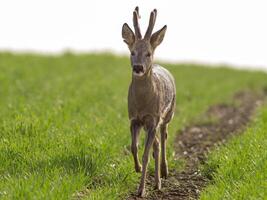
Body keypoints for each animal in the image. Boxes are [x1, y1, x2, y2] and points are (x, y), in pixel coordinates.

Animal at [122, 6, 177, 197]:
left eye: (148, 53)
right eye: (132, 52)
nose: (138, 67)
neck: (142, 103)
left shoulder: (153, 119)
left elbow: (147, 154)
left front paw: (141, 190)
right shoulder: (134, 119)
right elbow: (134, 147)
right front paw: (137, 168)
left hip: (167, 115)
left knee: (164, 137)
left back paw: (163, 174)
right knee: (157, 144)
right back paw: (157, 181)